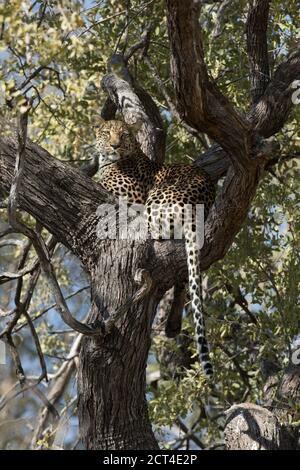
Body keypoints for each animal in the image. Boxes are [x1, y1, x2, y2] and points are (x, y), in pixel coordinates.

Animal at [95, 117, 214, 378]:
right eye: (107, 133)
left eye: (124, 135)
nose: (115, 145)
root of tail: (197, 209)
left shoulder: (132, 193)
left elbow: (98, 180)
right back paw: (173, 325)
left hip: (152, 203)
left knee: (154, 233)